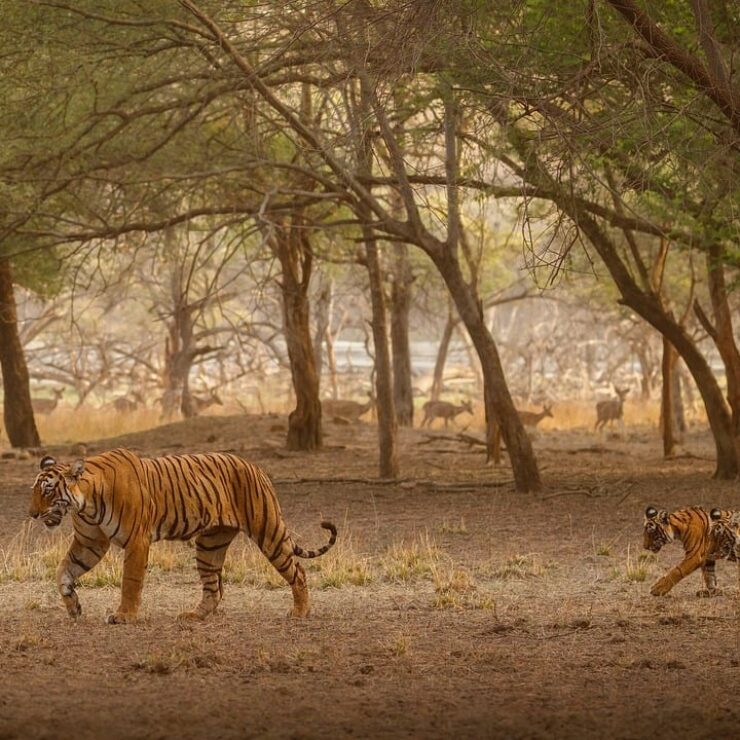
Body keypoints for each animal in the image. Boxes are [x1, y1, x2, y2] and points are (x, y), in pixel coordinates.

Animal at [28, 448, 338, 620]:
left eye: (47, 490)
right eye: (35, 490)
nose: (32, 514)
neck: (86, 503)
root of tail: (255, 466)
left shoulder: (136, 540)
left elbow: (130, 581)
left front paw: (124, 616)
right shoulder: (89, 542)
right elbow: (64, 571)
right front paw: (73, 607)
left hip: (268, 531)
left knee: (298, 572)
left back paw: (300, 612)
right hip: (210, 544)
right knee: (214, 588)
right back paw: (193, 616)